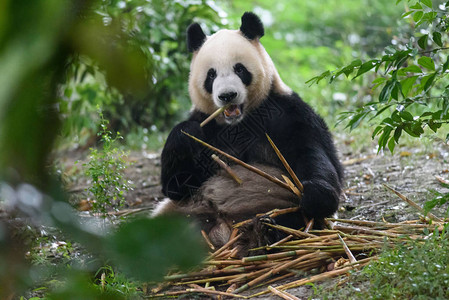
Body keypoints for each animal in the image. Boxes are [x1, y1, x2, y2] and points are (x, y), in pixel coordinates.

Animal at [151, 11, 344, 255]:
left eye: (239, 69)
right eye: (211, 75)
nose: (227, 95)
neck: (238, 123)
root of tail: (225, 232)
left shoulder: (285, 112)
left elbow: (314, 153)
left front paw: (315, 193)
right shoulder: (208, 125)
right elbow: (176, 186)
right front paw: (186, 132)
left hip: (279, 206)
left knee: (292, 219)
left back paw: (266, 231)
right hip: (184, 211)